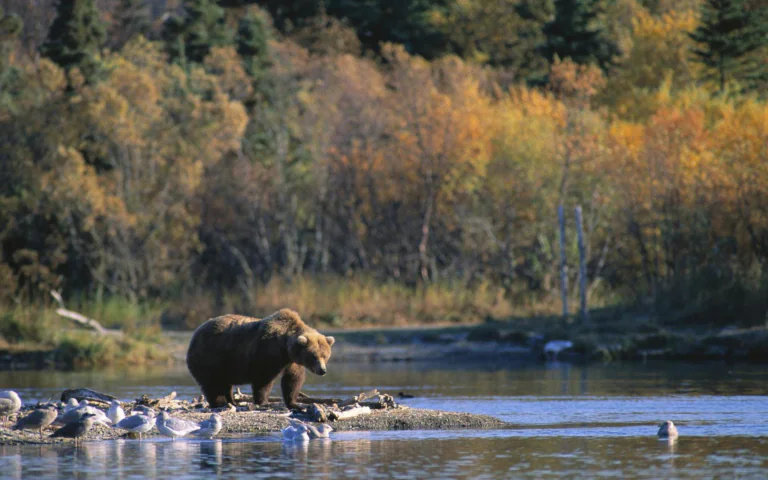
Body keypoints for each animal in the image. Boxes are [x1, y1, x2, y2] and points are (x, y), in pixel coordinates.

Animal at [186, 308, 335, 409]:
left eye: (325, 356)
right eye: (314, 356)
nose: (322, 370)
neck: (285, 347)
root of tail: (195, 333)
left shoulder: (291, 361)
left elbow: (293, 379)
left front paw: (294, 403)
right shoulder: (267, 352)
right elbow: (263, 379)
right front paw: (263, 401)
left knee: (225, 383)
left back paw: (232, 401)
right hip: (210, 355)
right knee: (212, 382)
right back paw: (220, 402)